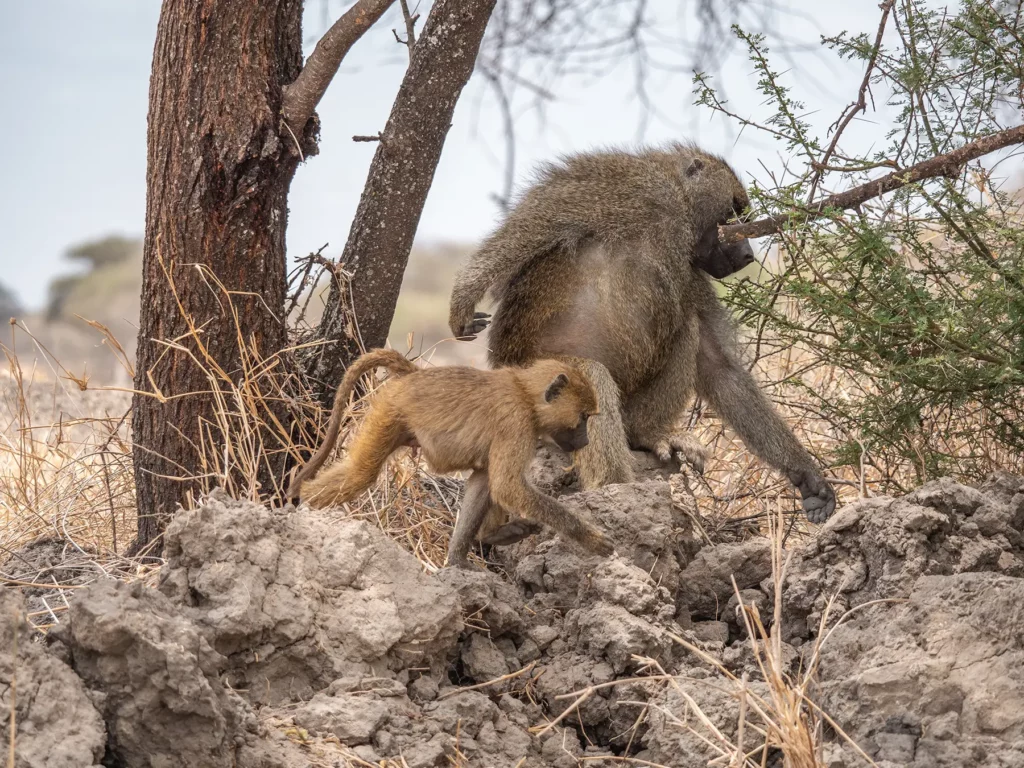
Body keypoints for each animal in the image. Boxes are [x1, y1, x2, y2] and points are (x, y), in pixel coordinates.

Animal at [284, 348, 614, 566]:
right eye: (583, 417)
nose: (585, 440)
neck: (526, 395)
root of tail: (415, 375)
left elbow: (484, 481)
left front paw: (459, 561)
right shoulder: (515, 423)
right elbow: (508, 486)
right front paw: (591, 538)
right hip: (391, 409)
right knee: (359, 475)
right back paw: (302, 511)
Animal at [447, 143, 836, 523]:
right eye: (733, 214)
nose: (747, 255)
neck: (676, 212)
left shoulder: (692, 273)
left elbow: (719, 365)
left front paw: (806, 476)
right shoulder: (623, 184)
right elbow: (528, 228)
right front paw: (461, 306)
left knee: (686, 329)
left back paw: (646, 436)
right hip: (533, 391)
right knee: (591, 376)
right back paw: (616, 489)